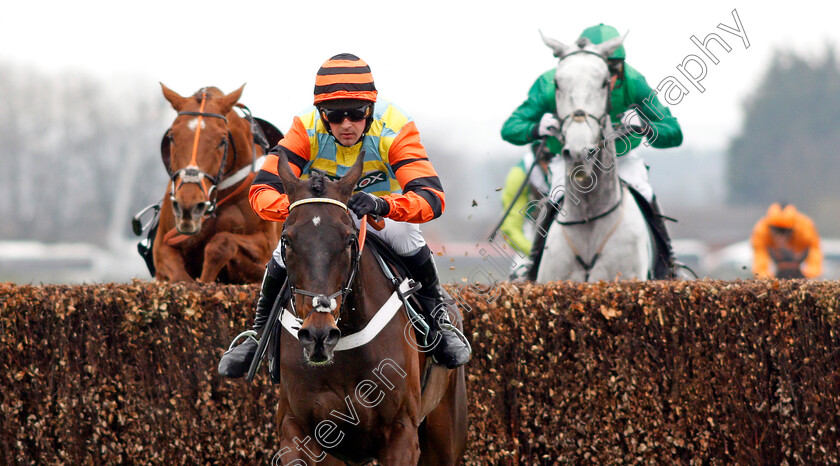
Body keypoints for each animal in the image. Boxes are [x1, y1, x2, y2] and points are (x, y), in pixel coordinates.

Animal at [153, 83, 280, 284]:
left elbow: (221, 243)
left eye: (222, 141)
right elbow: (180, 277)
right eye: (171, 137)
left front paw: (205, 280)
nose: (188, 207)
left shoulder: (268, 244)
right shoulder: (163, 247)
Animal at [270, 152, 466, 462]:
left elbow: (430, 192)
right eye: (286, 240)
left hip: (445, 437)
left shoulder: (401, 434)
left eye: (350, 239)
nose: (319, 335)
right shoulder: (298, 431)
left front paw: (369, 203)